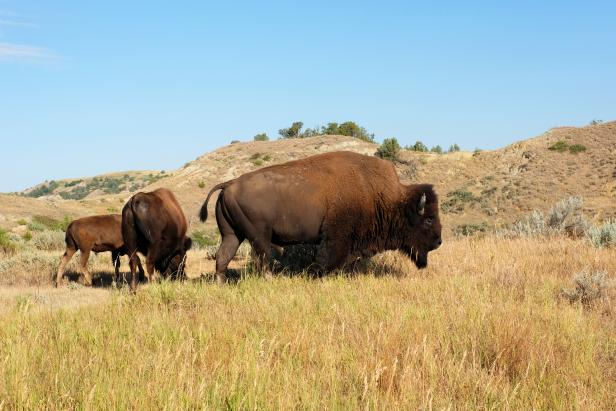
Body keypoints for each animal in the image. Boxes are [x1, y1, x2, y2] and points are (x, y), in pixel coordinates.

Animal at [202, 150, 442, 284]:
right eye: (428, 219)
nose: (438, 241)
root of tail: (230, 183)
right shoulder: (337, 237)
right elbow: (329, 259)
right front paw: (317, 276)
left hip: (232, 235)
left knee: (223, 257)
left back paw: (221, 284)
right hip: (258, 237)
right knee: (261, 259)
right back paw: (270, 280)